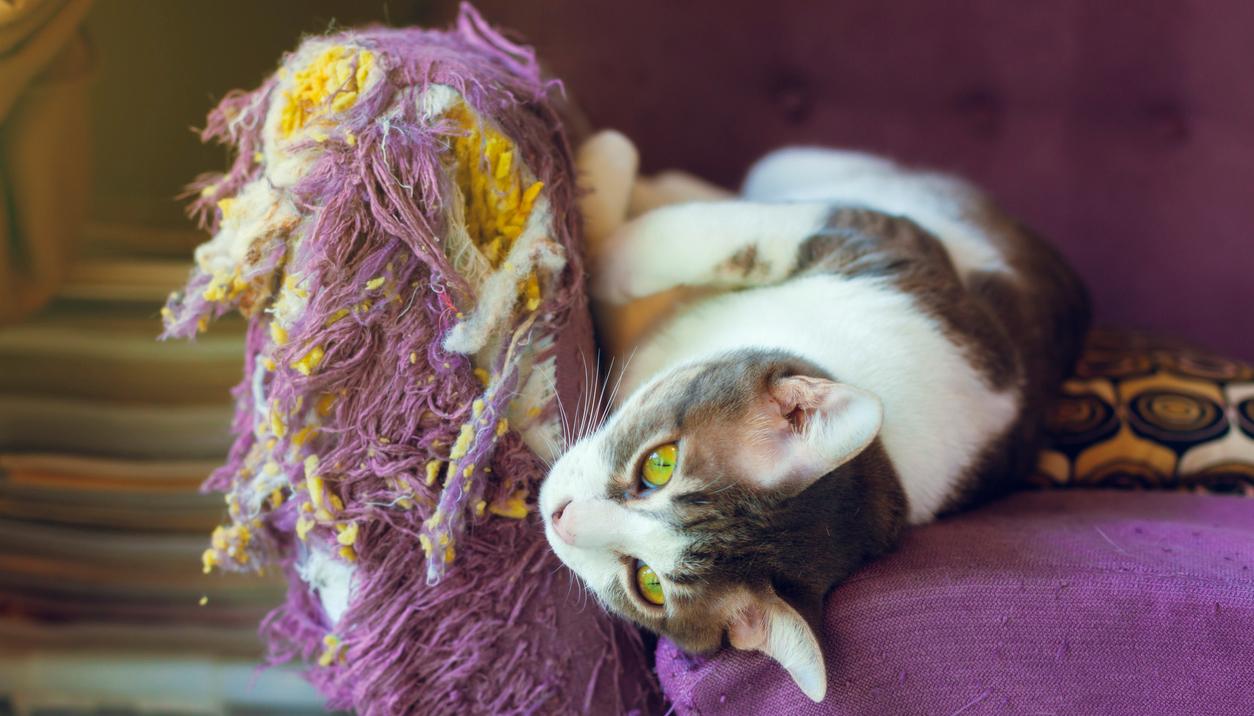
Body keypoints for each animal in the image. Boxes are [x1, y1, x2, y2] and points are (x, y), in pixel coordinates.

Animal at [539, 137, 1088, 702]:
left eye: (647, 583)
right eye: (660, 464)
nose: (561, 517)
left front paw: (594, 230)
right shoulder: (879, 237)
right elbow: (714, 240)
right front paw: (603, 192)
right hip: (801, 165)